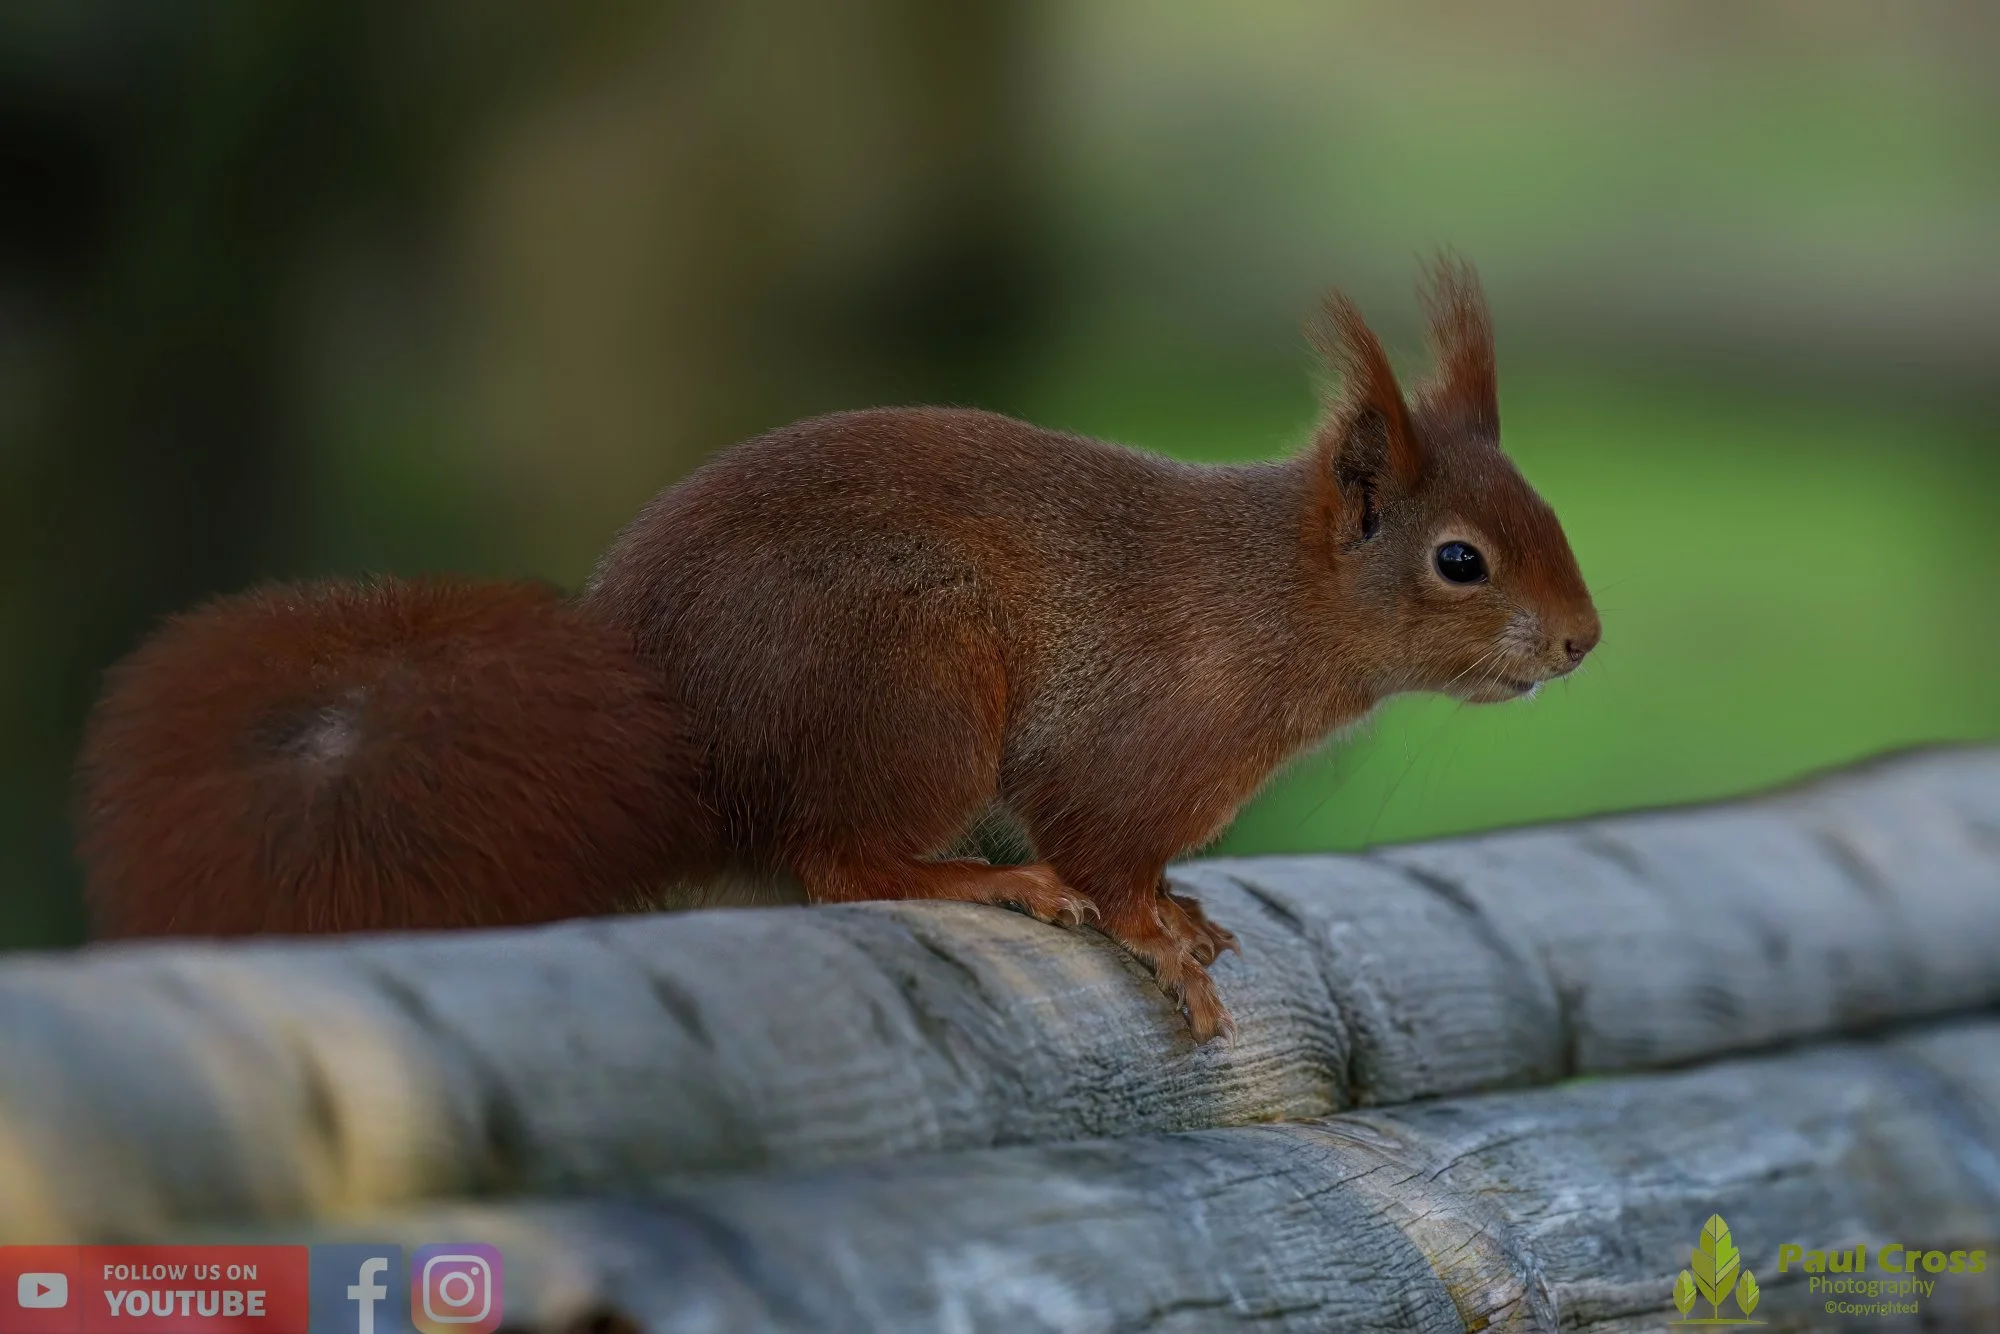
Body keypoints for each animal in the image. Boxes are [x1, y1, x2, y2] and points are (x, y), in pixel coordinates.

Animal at [74, 258, 1597, 1042]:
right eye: (1460, 559)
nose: (1583, 641)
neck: (1278, 602)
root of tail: (667, 735)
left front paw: (1188, 908)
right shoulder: (1138, 732)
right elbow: (1100, 841)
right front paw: (1155, 935)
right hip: (910, 681)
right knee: (836, 861)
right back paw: (982, 881)